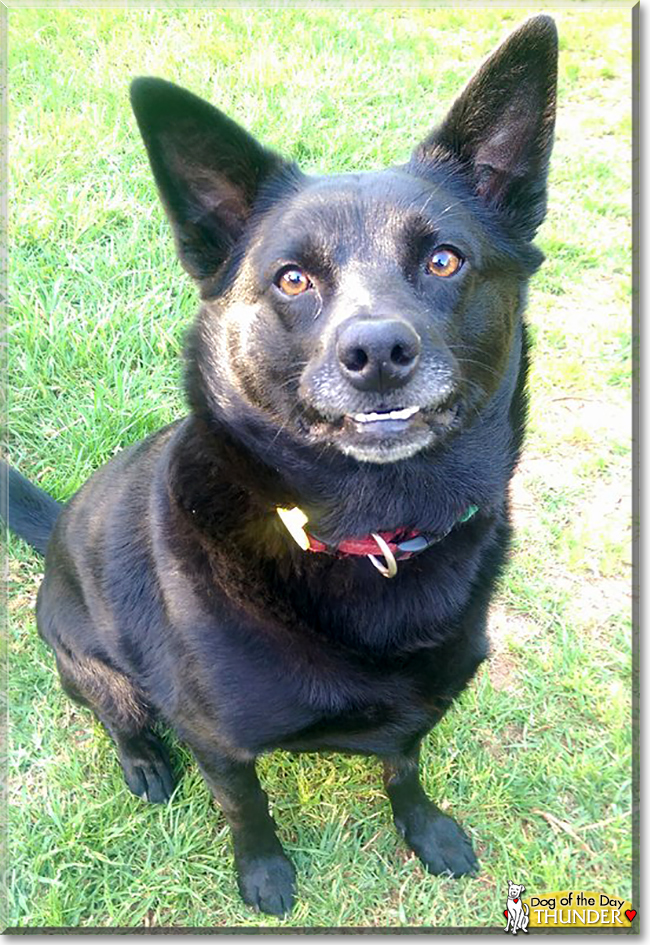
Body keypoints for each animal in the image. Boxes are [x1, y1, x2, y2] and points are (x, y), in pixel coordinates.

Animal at [2, 16, 556, 916]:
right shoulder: (219, 743)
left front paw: (427, 828)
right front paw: (263, 873)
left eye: (444, 260)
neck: (373, 529)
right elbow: (247, 808)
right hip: (87, 663)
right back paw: (143, 761)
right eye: (292, 278)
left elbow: (404, 768)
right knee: (117, 714)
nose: (378, 351)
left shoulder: (416, 714)